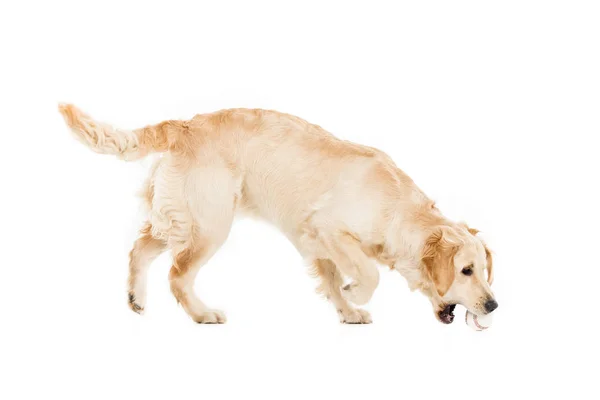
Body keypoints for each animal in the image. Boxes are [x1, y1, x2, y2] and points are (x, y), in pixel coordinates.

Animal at [58, 104, 496, 324]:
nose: (493, 306)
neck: (397, 207)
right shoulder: (328, 227)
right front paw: (357, 293)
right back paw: (203, 314)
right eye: (466, 271)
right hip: (212, 223)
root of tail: (185, 125)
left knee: (140, 248)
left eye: (483, 271)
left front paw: (348, 311)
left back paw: (136, 299)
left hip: (181, 217)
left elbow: (331, 280)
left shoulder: (316, 241)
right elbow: (367, 272)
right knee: (177, 275)